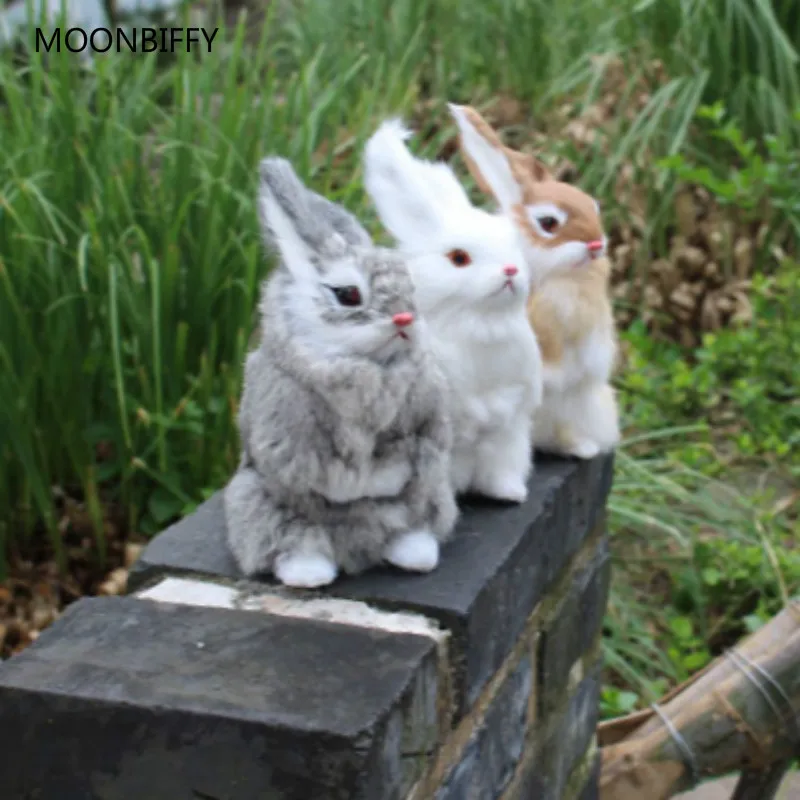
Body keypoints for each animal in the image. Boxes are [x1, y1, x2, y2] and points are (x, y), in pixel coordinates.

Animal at [224, 156, 459, 588]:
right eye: (348, 295)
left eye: (411, 288)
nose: (404, 319)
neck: (368, 366)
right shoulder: (291, 440)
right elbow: (337, 478)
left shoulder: (429, 428)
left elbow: (416, 454)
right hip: (260, 503)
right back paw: (308, 573)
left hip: (431, 498)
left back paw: (416, 555)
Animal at [363, 119, 542, 504]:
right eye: (459, 258)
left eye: (514, 248)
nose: (510, 270)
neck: (478, 325)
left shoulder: (511, 426)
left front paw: (510, 493)